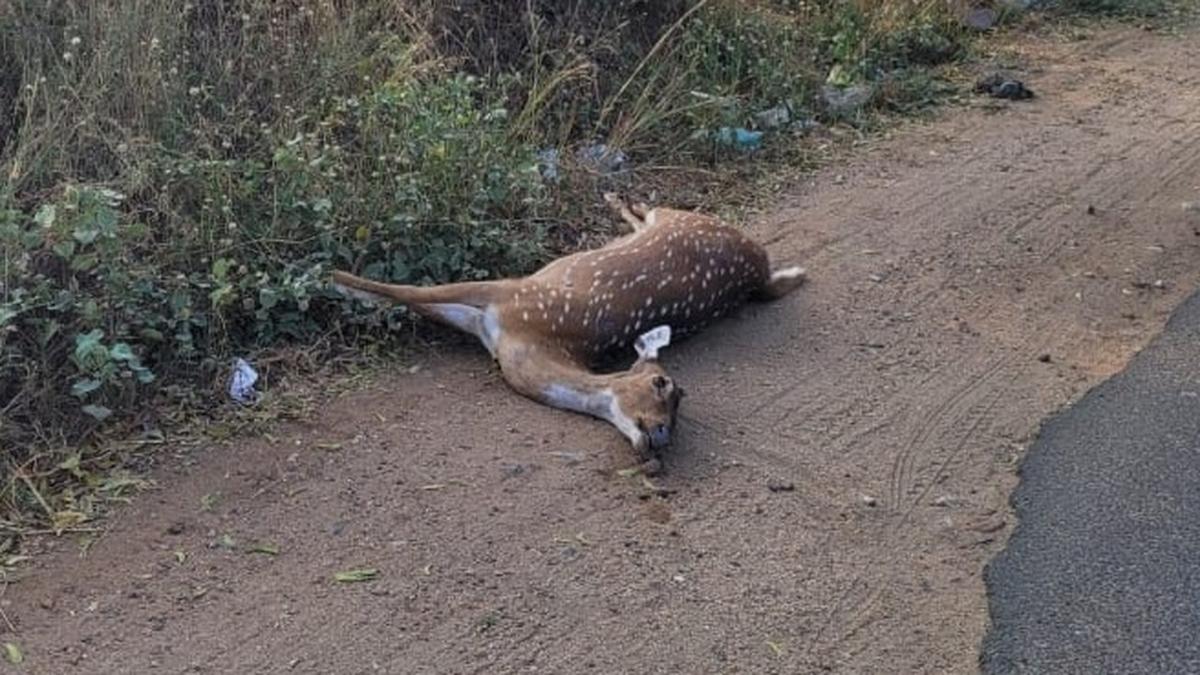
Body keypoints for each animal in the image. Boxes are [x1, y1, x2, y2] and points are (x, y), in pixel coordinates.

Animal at [331, 193, 806, 474]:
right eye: (662, 383)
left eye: (680, 401)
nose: (661, 436)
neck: (540, 342)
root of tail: (760, 268)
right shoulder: (511, 293)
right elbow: (410, 291)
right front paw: (336, 281)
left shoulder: (504, 307)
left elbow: (412, 296)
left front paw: (339, 286)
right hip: (679, 219)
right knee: (649, 211)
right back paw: (617, 197)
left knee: (647, 213)